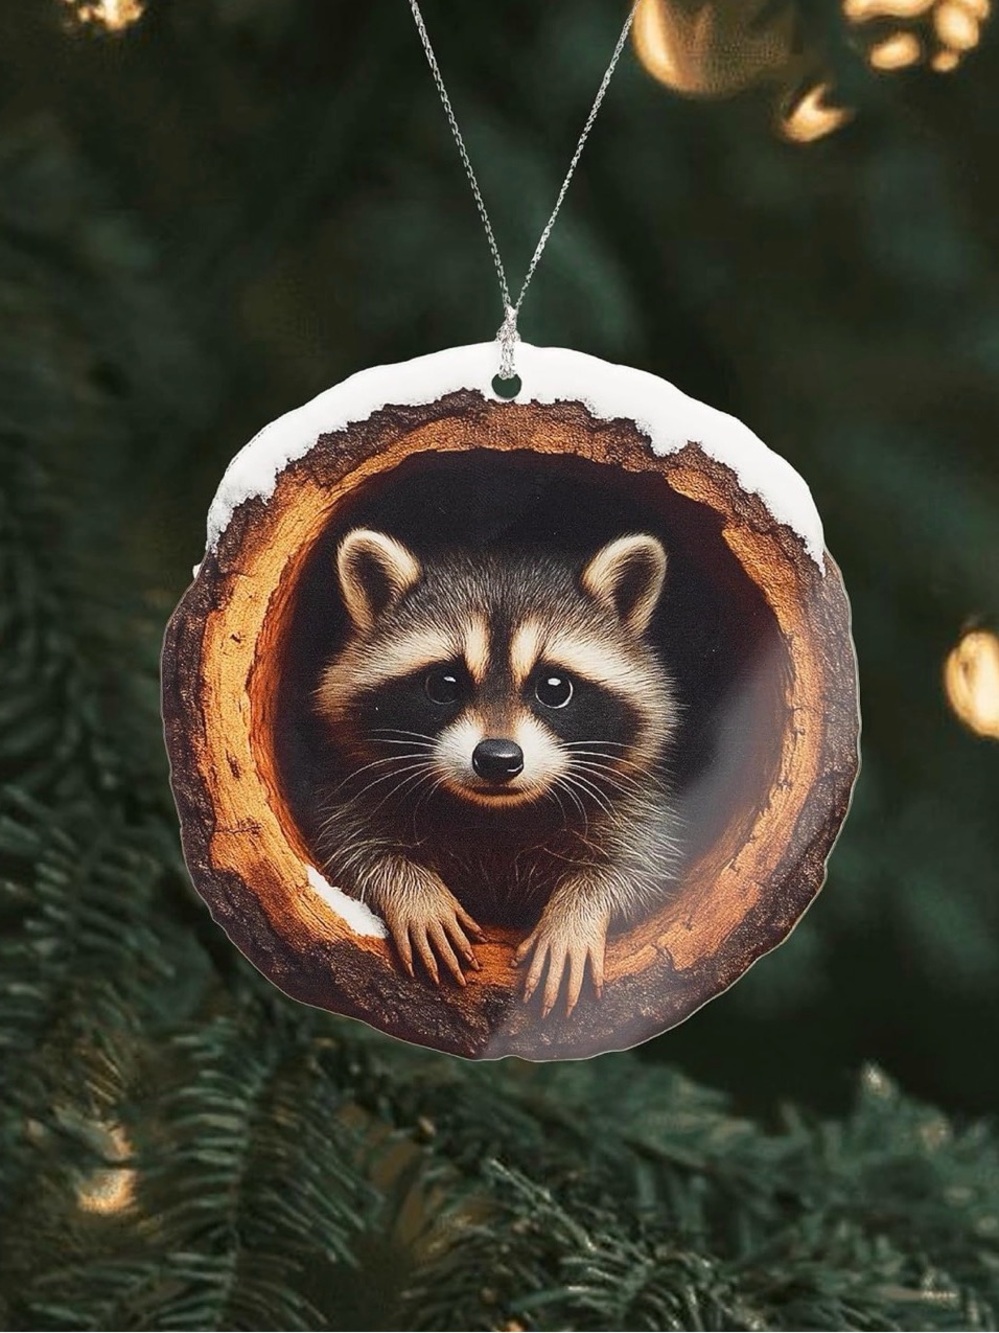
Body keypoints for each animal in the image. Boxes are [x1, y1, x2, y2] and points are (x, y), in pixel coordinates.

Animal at [313, 526, 680, 1017]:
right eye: (444, 684)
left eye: (554, 688)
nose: (498, 758)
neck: (497, 813)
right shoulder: (349, 784)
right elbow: (345, 843)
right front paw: (413, 892)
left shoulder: (634, 801)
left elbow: (643, 865)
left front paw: (578, 910)